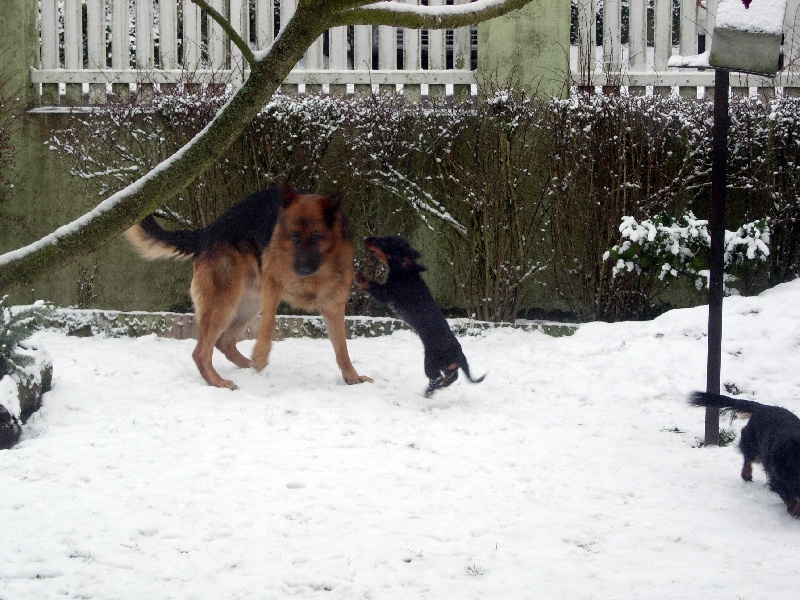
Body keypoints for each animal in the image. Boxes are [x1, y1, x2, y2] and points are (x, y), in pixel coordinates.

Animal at [126, 180, 372, 392]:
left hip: (247, 305)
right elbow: (268, 325)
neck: (318, 271)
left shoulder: (333, 307)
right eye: (292, 237)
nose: (300, 269)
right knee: (200, 352)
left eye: (316, 237)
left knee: (224, 342)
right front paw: (261, 356)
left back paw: (247, 366)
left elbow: (342, 349)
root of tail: (207, 231)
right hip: (225, 304)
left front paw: (352, 377)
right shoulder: (273, 287)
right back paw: (220, 381)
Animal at [354, 236, 482, 398]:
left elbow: (372, 285)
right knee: (453, 376)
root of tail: (459, 355)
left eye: (385, 242)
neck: (405, 270)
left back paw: (429, 391)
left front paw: (360, 277)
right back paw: (443, 385)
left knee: (437, 378)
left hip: (431, 363)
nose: (366, 238)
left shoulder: (387, 292)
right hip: (446, 366)